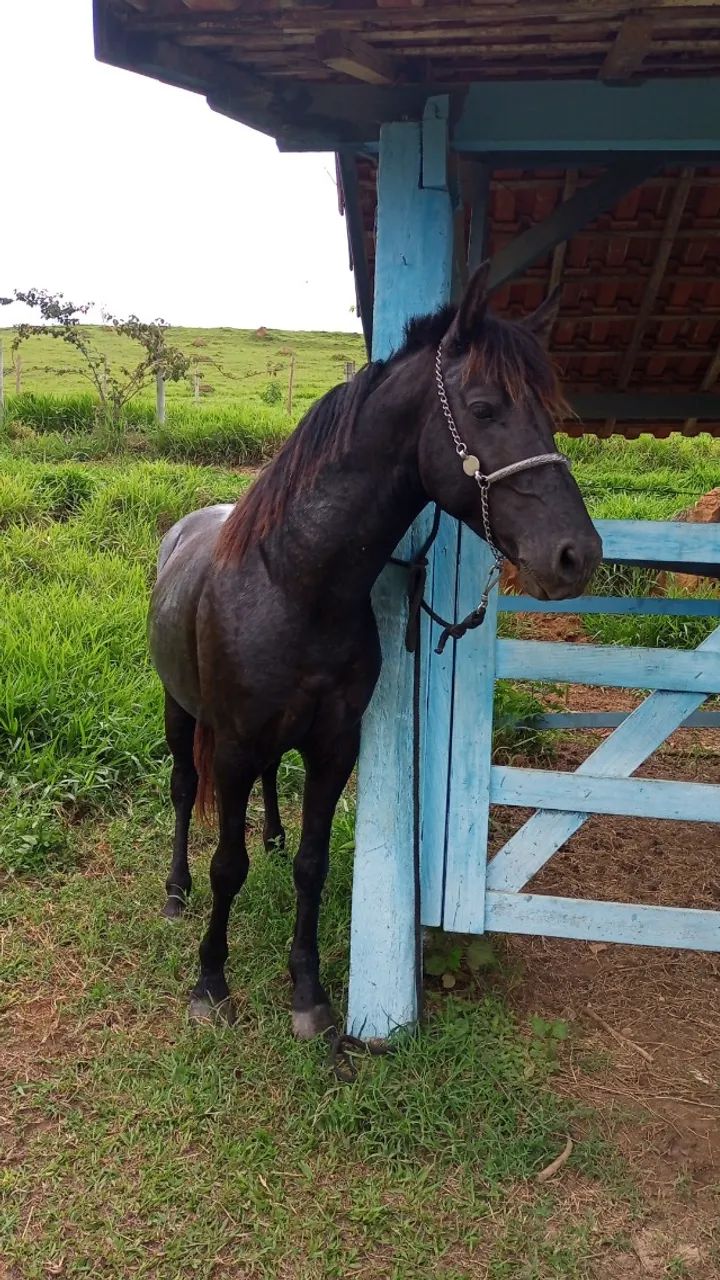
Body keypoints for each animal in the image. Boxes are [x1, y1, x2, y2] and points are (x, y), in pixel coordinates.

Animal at [148, 266, 602, 1040]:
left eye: (547, 413)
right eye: (484, 408)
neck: (293, 583)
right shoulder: (233, 744)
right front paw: (210, 983)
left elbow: (312, 864)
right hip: (183, 712)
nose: (577, 555)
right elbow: (226, 866)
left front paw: (308, 995)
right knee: (184, 788)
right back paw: (175, 890)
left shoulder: (335, 744)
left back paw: (269, 837)